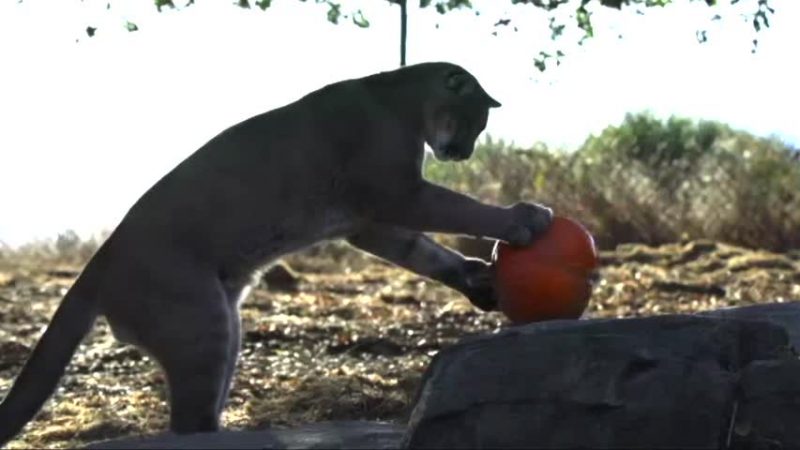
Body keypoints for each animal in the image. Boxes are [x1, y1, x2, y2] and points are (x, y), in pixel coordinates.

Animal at [0, 61, 552, 444]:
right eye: (472, 121)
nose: (463, 152)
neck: (400, 103)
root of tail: (97, 262)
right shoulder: (396, 194)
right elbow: (463, 210)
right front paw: (525, 219)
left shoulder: (369, 223)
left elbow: (425, 252)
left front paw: (478, 279)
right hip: (201, 326)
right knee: (187, 423)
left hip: (225, 330)